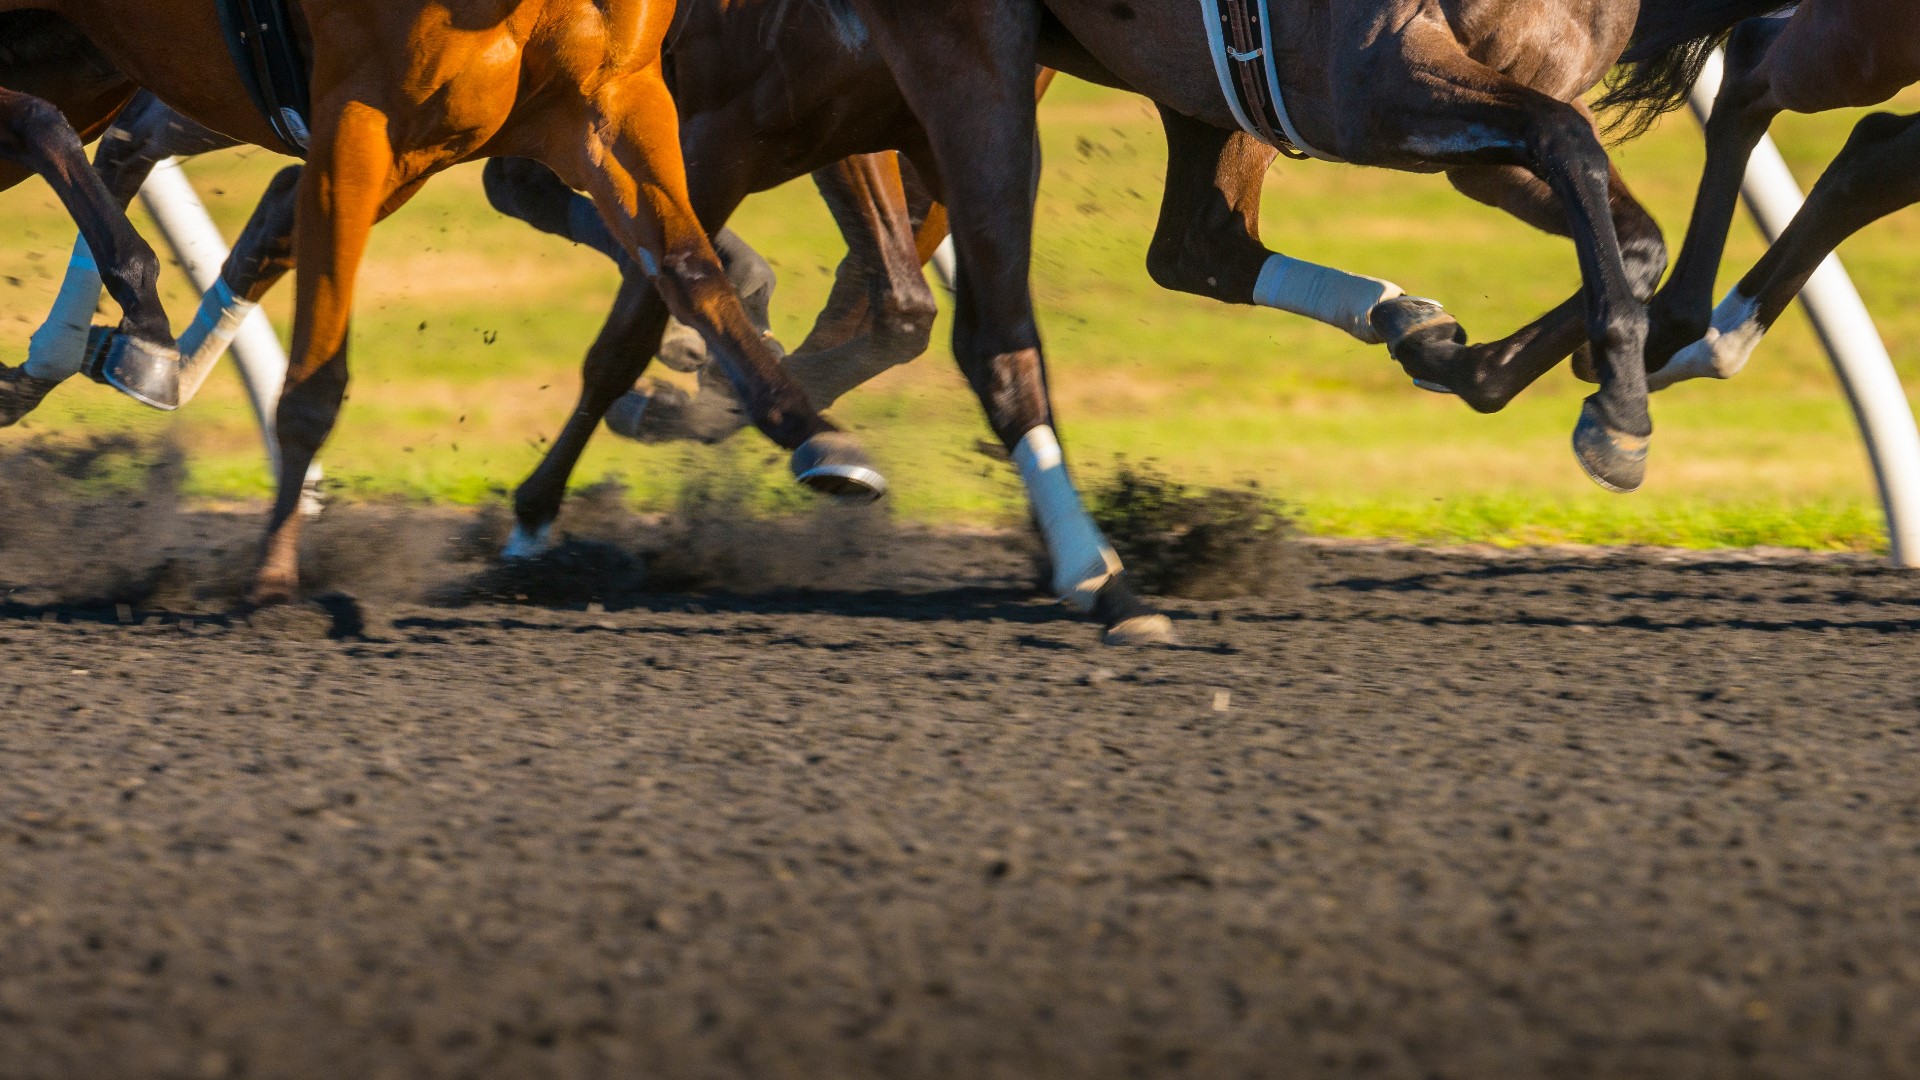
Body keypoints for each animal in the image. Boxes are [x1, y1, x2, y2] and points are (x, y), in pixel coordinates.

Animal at [0, 0, 879, 599]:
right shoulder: (362, 118)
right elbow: (317, 368)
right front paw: (275, 569)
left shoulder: (609, 101)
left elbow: (692, 270)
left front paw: (817, 434)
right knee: (53, 126)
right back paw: (131, 310)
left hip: (85, 56)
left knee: (72, 131)